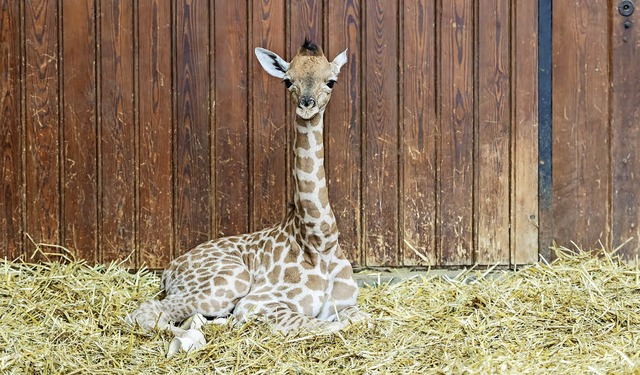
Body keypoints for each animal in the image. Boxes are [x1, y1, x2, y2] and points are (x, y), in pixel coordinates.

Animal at [125, 39, 368, 356]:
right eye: (287, 80)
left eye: (331, 81)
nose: (306, 105)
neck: (320, 239)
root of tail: (169, 269)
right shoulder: (258, 303)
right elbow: (324, 325)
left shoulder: (347, 304)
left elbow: (359, 318)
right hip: (230, 281)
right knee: (146, 313)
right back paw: (189, 339)